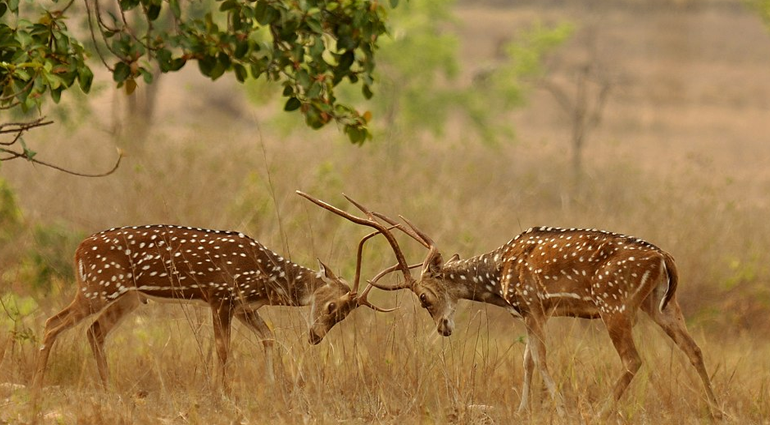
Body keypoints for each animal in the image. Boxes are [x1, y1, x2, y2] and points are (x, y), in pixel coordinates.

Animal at [32, 223, 395, 390]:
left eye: (344, 315)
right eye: (332, 306)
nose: (315, 337)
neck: (265, 274)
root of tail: (78, 250)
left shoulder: (243, 305)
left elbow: (269, 336)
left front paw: (272, 386)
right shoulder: (220, 294)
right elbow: (223, 347)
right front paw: (221, 392)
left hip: (128, 296)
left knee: (93, 331)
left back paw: (110, 387)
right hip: (99, 286)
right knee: (52, 322)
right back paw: (37, 385)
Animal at [298, 192, 723, 419]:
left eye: (423, 298)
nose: (443, 328)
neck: (499, 276)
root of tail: (664, 258)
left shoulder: (533, 306)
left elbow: (542, 359)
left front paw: (560, 410)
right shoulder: (531, 313)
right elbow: (527, 360)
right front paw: (522, 410)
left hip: (614, 304)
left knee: (633, 360)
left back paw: (600, 413)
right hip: (662, 305)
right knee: (695, 349)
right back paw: (717, 410)